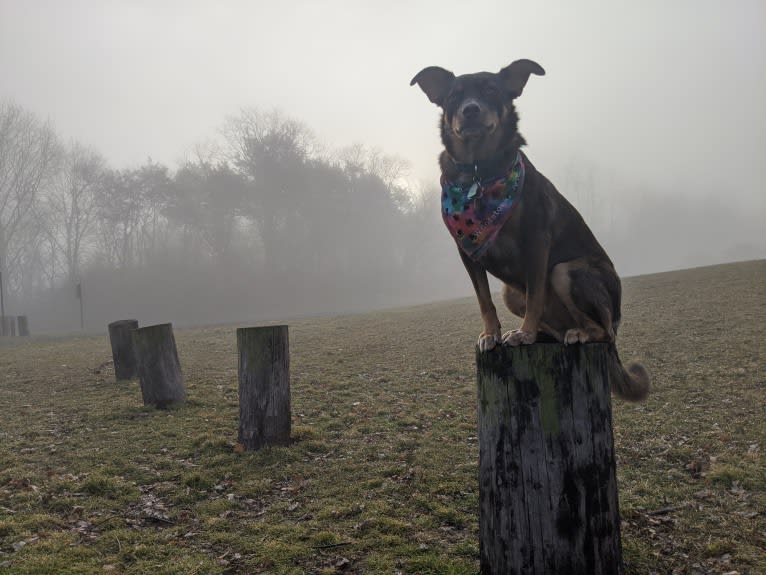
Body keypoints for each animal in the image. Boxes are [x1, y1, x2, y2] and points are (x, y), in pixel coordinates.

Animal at [412, 58, 652, 400]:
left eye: (490, 90)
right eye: (454, 96)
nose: (470, 110)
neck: (479, 171)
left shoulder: (536, 241)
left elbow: (537, 294)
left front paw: (525, 334)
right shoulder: (467, 252)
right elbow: (484, 301)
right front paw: (492, 334)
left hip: (566, 273)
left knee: (603, 331)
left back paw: (575, 333)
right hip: (512, 292)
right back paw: (548, 333)